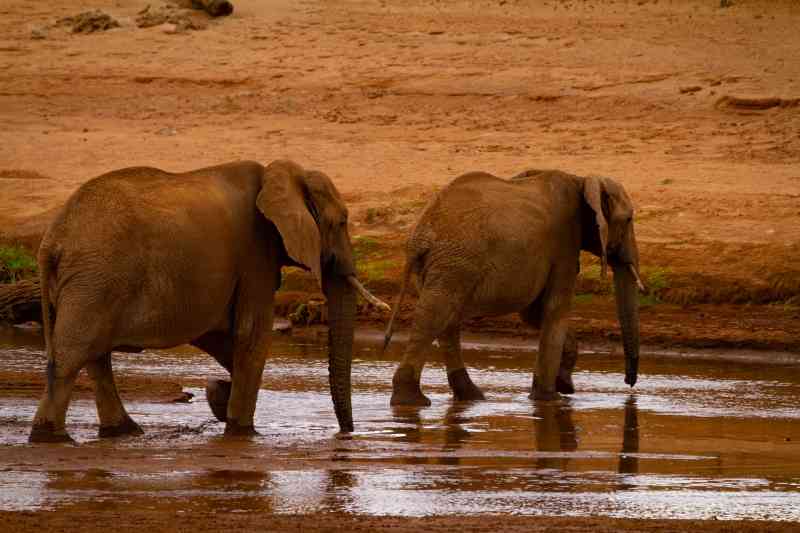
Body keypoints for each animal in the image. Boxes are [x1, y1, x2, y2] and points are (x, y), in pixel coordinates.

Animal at [29, 159, 388, 442]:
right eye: (340, 222)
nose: (346, 434)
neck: (282, 174)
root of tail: (51, 240)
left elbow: (220, 336)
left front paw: (218, 395)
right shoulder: (255, 251)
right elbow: (250, 335)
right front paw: (242, 431)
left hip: (91, 283)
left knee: (94, 356)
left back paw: (124, 432)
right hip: (96, 279)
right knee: (72, 358)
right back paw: (51, 439)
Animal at [383, 168, 644, 406]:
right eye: (629, 219)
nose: (629, 384)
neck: (581, 179)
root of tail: (420, 234)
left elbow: (534, 314)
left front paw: (564, 385)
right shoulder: (564, 243)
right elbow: (555, 310)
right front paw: (549, 399)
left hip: (443, 265)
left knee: (447, 319)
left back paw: (471, 397)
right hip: (455, 261)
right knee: (435, 316)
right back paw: (411, 401)